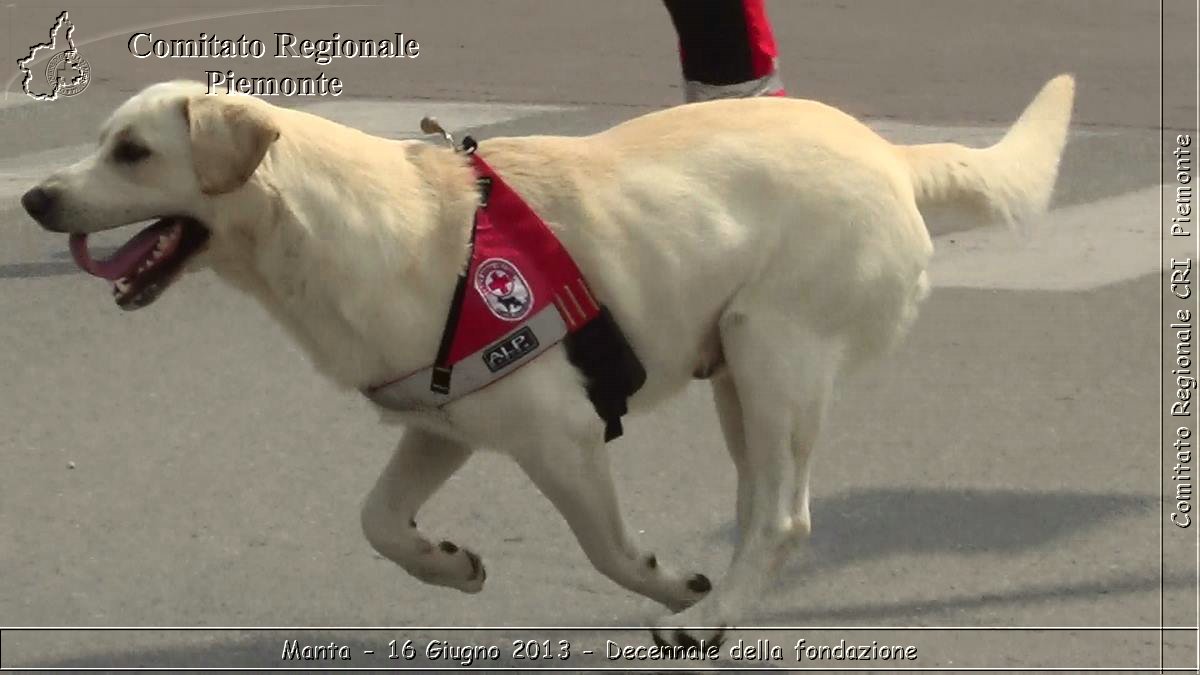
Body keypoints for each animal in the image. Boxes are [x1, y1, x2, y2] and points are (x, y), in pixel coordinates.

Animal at [21, 77, 1070, 638]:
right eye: (103, 141)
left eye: (132, 150)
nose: (33, 198)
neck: (331, 225)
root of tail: (890, 155)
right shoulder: (440, 422)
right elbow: (377, 521)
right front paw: (447, 564)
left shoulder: (560, 434)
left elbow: (606, 548)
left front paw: (667, 580)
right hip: (739, 373)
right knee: (767, 507)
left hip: (774, 352)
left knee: (784, 515)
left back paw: (706, 617)